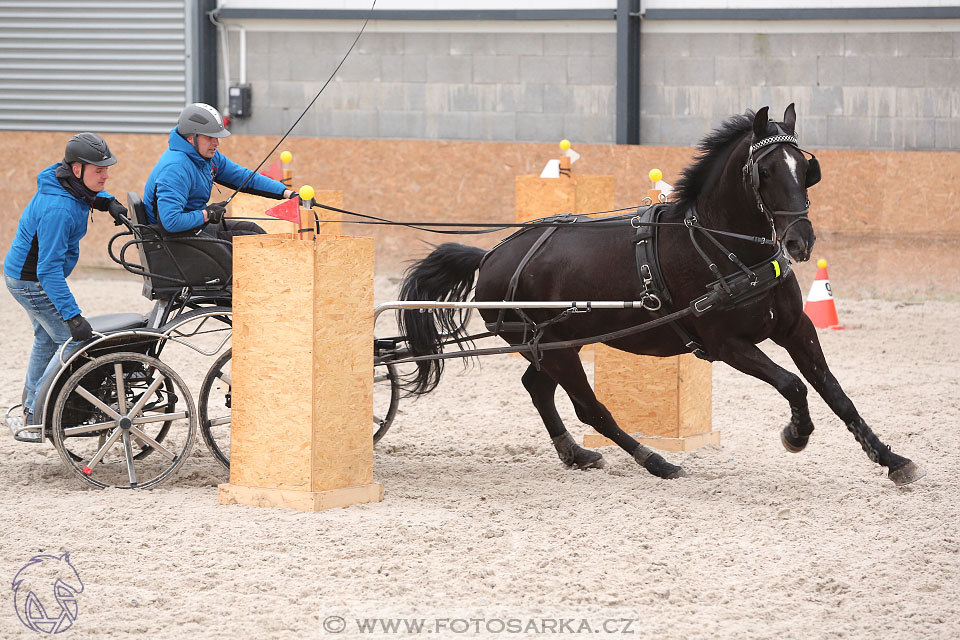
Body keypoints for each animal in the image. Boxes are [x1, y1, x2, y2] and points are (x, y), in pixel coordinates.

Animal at [396, 105, 924, 484]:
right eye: (767, 172)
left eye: (805, 167)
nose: (800, 241)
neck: (724, 246)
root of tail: (491, 254)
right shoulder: (725, 345)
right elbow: (794, 385)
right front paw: (796, 434)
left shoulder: (796, 327)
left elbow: (836, 393)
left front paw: (891, 458)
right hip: (555, 347)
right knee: (589, 407)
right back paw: (656, 461)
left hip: (555, 343)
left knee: (539, 388)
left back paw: (577, 454)